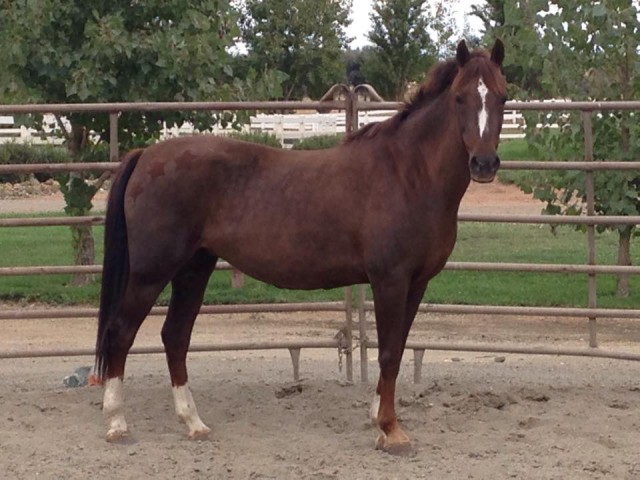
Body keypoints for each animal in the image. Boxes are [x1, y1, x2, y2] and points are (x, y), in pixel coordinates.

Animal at [94, 40, 504, 454]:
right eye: (459, 97)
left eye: (502, 96)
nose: (484, 164)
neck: (408, 173)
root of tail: (145, 156)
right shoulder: (390, 279)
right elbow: (388, 352)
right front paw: (391, 430)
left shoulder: (416, 283)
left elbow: (399, 348)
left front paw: (378, 417)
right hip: (151, 271)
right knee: (121, 331)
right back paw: (116, 423)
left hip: (194, 268)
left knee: (175, 336)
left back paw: (193, 422)